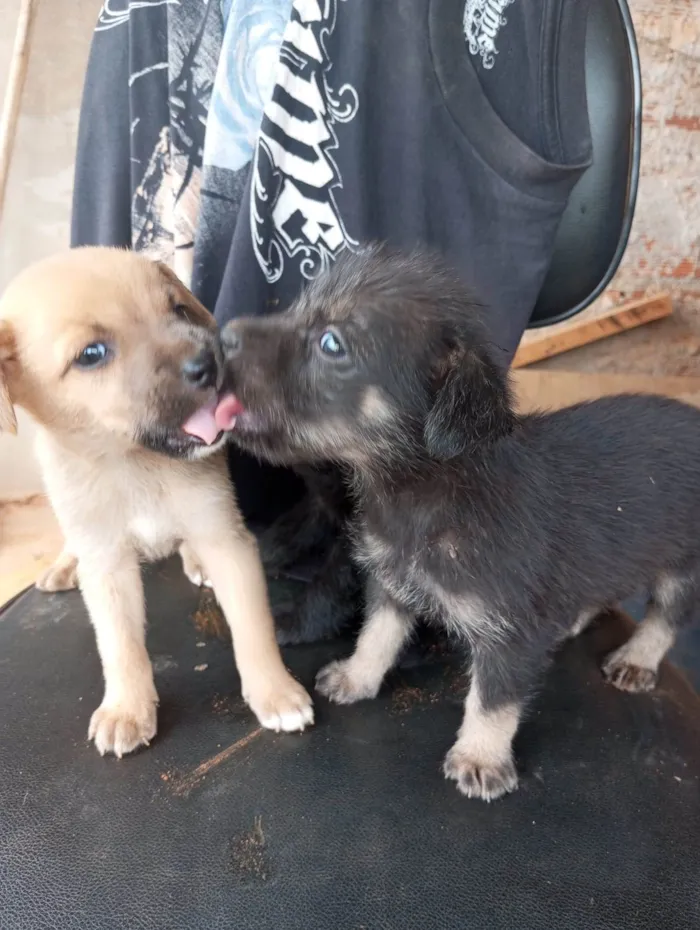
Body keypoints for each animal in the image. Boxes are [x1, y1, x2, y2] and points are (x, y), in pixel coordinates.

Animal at [0, 246, 312, 752]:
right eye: (91, 354)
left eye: (178, 309)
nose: (213, 359)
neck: (133, 464)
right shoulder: (107, 565)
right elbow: (120, 645)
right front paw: (126, 709)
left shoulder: (226, 538)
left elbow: (253, 627)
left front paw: (276, 691)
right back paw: (64, 565)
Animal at [216, 245, 700, 796]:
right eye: (297, 307)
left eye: (332, 342)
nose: (222, 335)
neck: (421, 492)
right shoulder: (392, 584)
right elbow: (376, 636)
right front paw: (356, 677)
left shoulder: (510, 633)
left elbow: (492, 700)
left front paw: (481, 757)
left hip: (682, 567)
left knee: (668, 616)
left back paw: (636, 658)